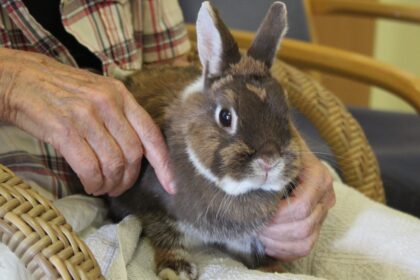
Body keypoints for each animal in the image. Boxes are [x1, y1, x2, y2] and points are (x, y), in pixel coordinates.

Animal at [107, 1, 302, 278]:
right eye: (225, 116)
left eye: (286, 113)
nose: (269, 161)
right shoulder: (154, 210)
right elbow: (164, 237)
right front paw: (175, 269)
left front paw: (274, 268)